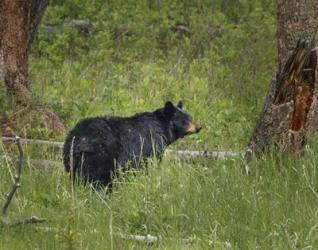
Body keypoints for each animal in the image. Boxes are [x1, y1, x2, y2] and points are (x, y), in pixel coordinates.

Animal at [63, 101, 200, 188]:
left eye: (190, 116)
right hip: (100, 156)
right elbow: (149, 165)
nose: (199, 127)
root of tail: (79, 138)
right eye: (185, 120)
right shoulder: (151, 145)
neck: (162, 128)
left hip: (69, 157)